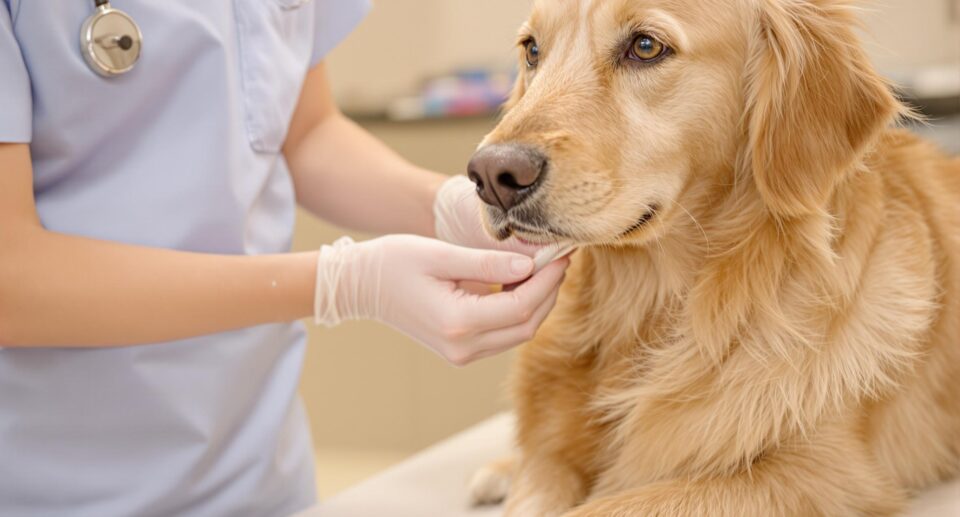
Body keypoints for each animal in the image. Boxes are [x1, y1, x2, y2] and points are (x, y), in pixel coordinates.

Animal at [464, 0, 960, 512]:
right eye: (532, 50)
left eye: (646, 46)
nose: (490, 175)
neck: (646, 311)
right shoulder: (549, 458)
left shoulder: (821, 477)